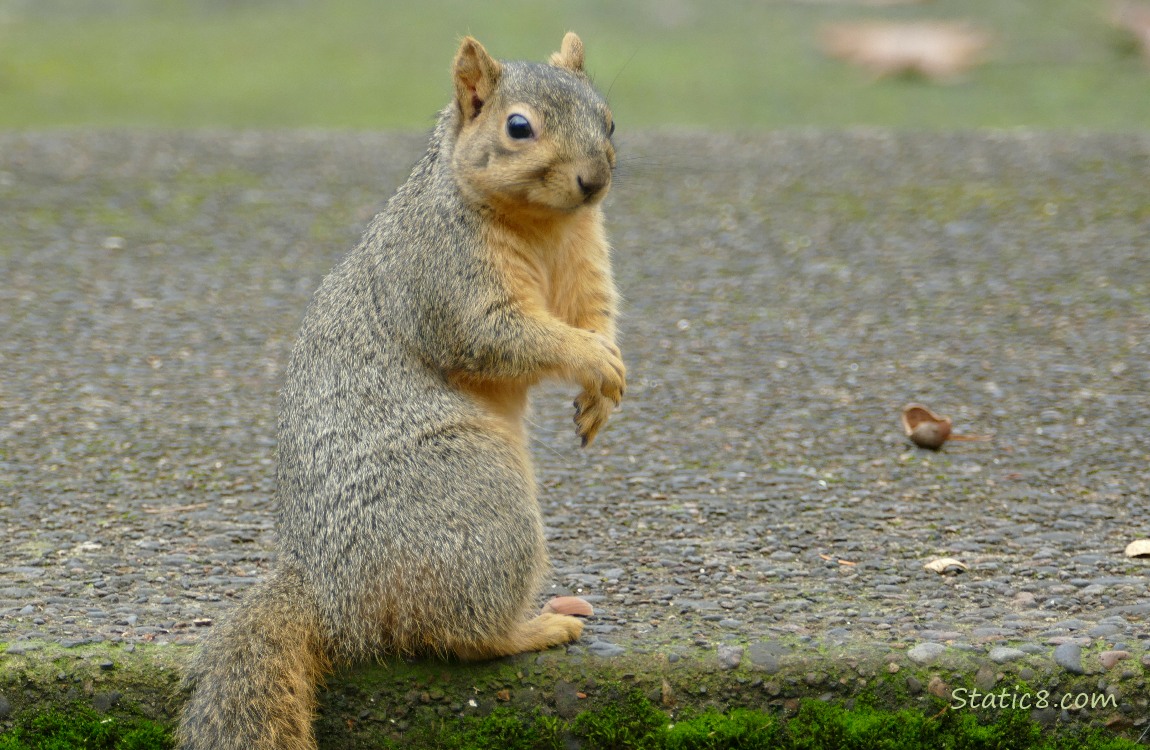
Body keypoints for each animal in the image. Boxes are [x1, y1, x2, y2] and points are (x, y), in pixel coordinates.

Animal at [177, 32, 624, 750]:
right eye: (517, 127)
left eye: (606, 118)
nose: (594, 181)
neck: (546, 225)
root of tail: (331, 596)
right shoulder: (445, 275)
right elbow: (499, 337)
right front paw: (589, 361)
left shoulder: (586, 262)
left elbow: (596, 316)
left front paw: (604, 389)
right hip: (475, 500)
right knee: (459, 636)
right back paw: (535, 628)